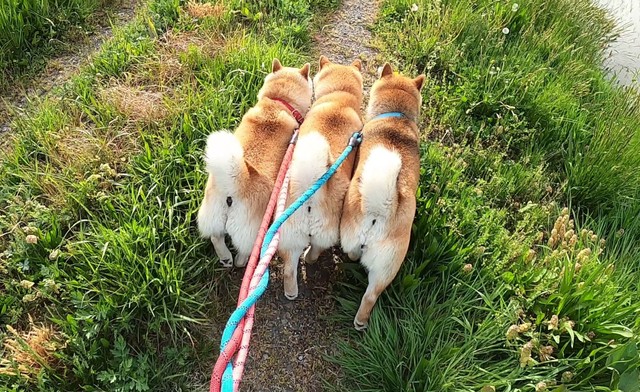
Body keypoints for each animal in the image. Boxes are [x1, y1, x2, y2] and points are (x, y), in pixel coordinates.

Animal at [198, 59, 312, 268]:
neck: (277, 101)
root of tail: (235, 186)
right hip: (253, 232)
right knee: (244, 252)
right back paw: (241, 260)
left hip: (212, 216)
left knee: (216, 238)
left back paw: (225, 257)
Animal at [280, 56, 364, 300]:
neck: (339, 97)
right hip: (324, 233)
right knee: (314, 252)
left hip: (291, 235)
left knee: (291, 268)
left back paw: (291, 292)